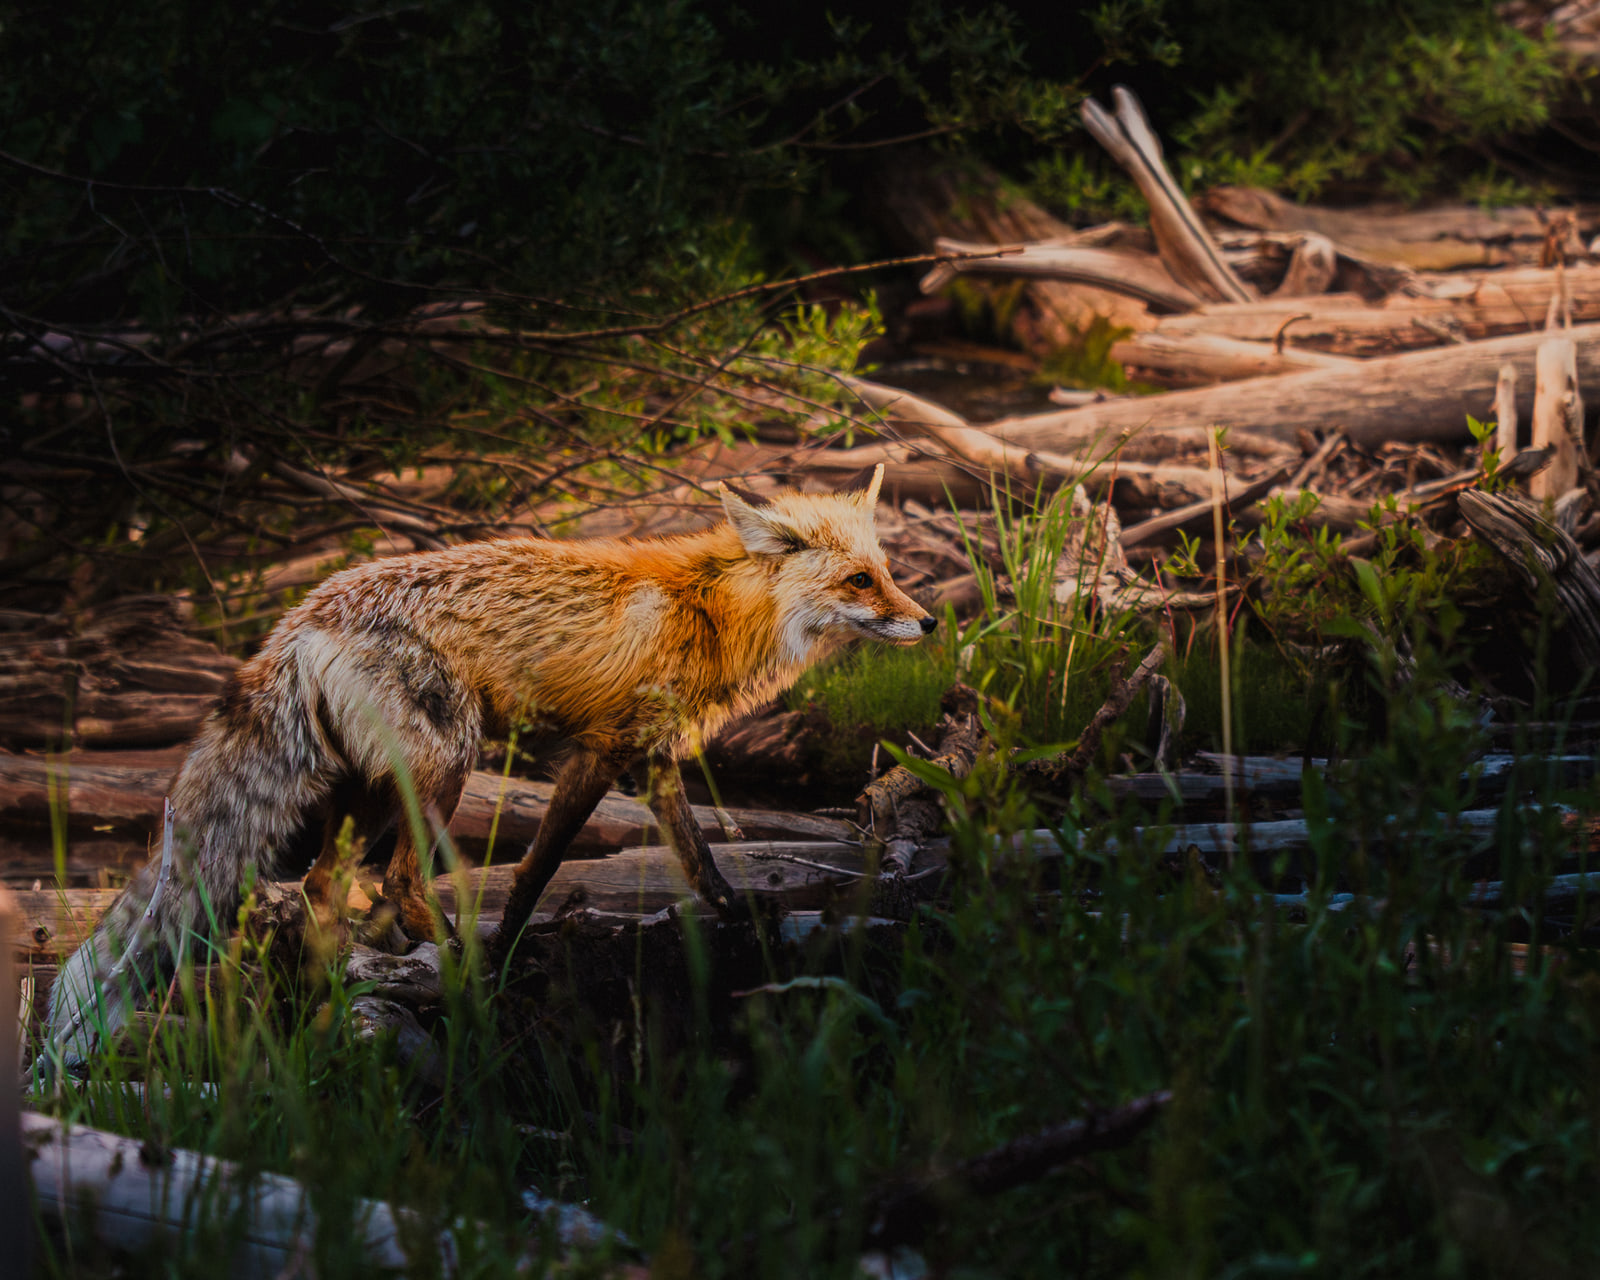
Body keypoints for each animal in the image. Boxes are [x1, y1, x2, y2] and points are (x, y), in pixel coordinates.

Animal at [45, 464, 934, 1065]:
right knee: (398, 879)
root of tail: (297, 620)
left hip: (361, 789)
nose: (928, 623)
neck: (711, 611)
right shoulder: (602, 750)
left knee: (322, 886)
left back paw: (337, 986)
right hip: (445, 764)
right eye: (861, 580)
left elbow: (699, 858)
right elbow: (537, 870)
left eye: (887, 573)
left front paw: (736, 917)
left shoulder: (650, 759)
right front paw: (509, 955)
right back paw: (454, 961)